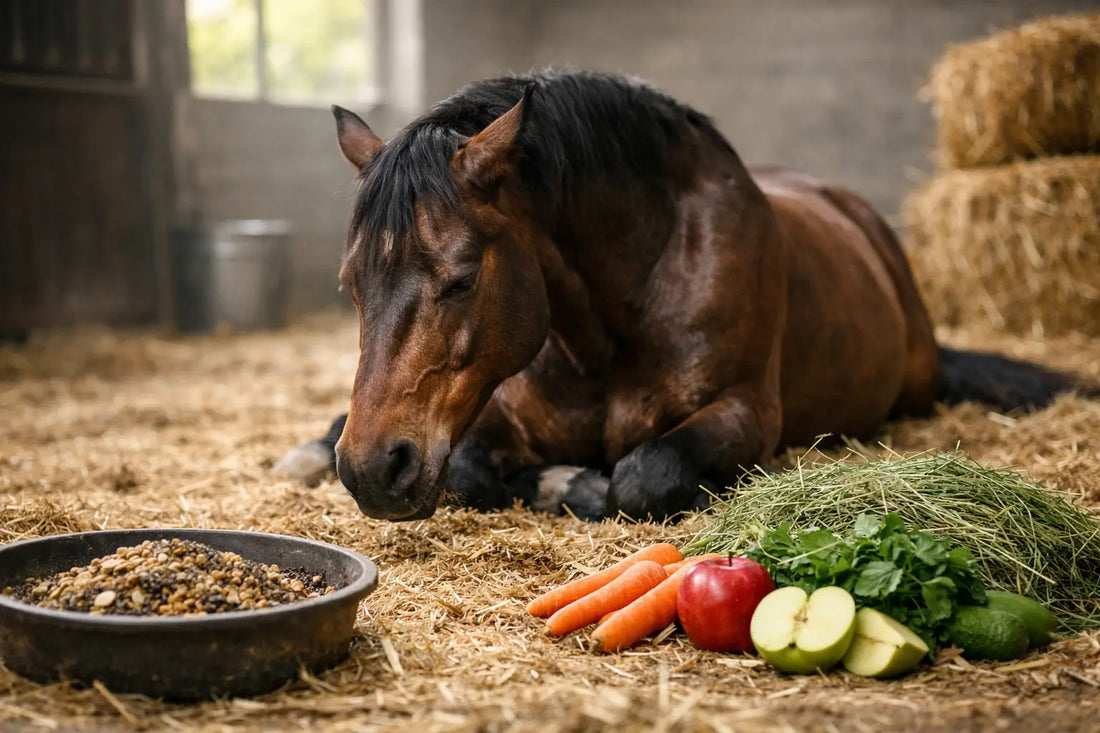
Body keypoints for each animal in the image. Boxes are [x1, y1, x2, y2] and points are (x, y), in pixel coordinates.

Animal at [273, 70, 1090, 522]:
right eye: (350, 285)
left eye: (464, 276)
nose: (372, 471)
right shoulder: (484, 415)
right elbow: (474, 472)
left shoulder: (744, 413)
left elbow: (644, 475)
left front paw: (587, 485)